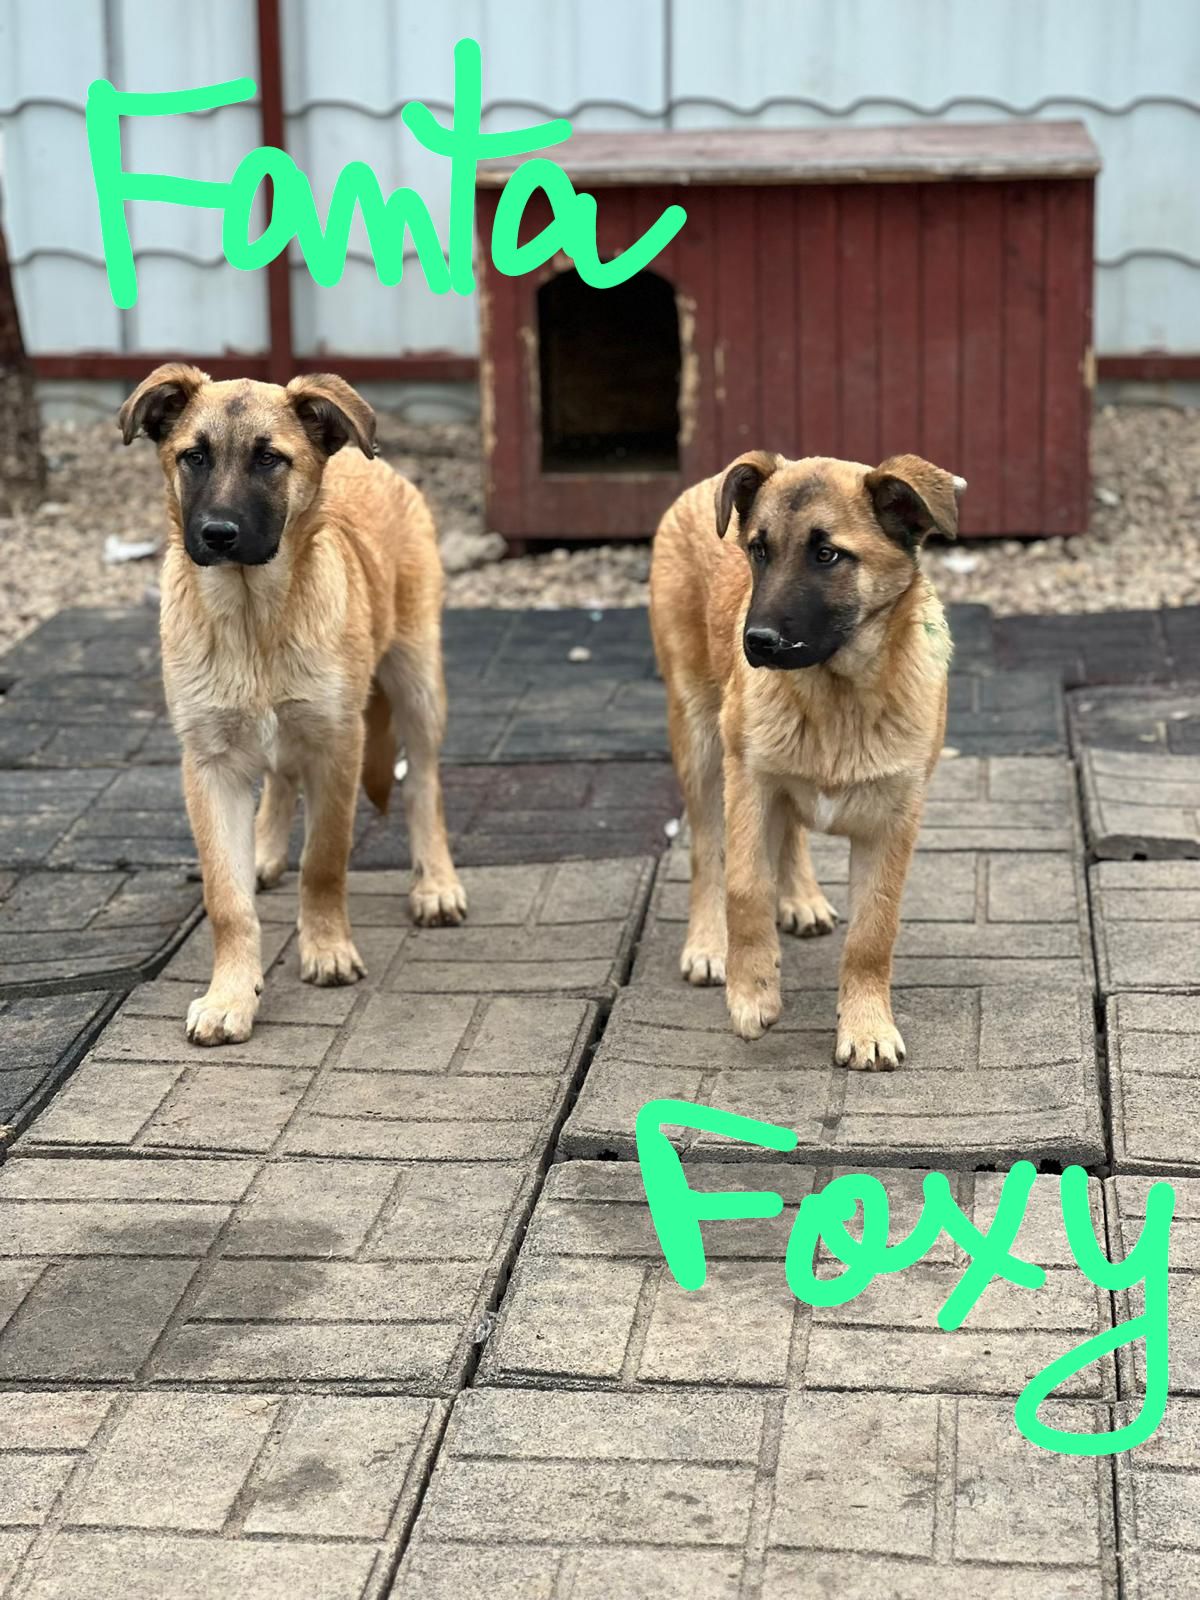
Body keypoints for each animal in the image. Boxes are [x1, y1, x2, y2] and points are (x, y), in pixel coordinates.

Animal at [119, 364, 466, 1045]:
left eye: (269, 459)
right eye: (193, 457)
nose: (217, 534)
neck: (252, 617)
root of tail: (367, 461)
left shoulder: (338, 746)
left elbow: (324, 862)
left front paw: (326, 949)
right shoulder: (207, 764)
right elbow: (227, 900)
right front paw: (231, 994)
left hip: (417, 680)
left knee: (424, 784)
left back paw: (436, 882)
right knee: (280, 779)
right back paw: (264, 849)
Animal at [649, 450, 963, 1069]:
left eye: (827, 555)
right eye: (758, 550)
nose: (757, 641)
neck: (837, 696)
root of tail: (703, 484)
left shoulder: (894, 820)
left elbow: (873, 931)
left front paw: (866, 1026)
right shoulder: (748, 780)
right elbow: (745, 887)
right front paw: (753, 992)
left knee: (790, 829)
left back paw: (801, 898)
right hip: (699, 740)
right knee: (707, 850)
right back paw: (708, 944)